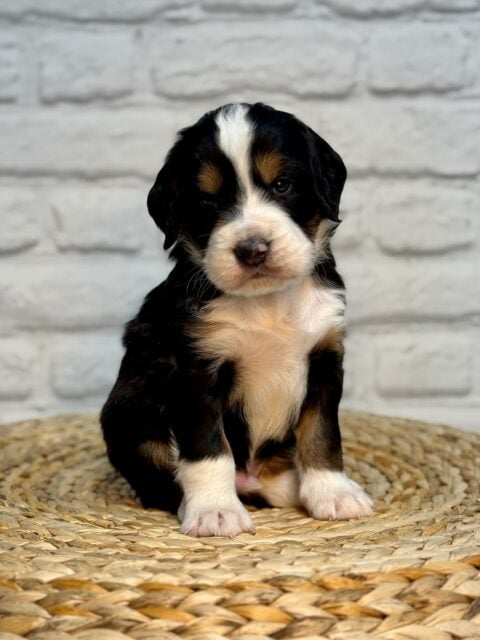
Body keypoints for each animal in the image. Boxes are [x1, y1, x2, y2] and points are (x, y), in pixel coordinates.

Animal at [101, 102, 374, 536]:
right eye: (207, 201)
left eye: (282, 184)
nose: (252, 249)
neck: (266, 302)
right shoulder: (196, 369)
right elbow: (209, 449)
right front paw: (215, 511)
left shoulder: (325, 356)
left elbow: (322, 433)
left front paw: (333, 493)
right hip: (129, 417)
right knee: (163, 480)